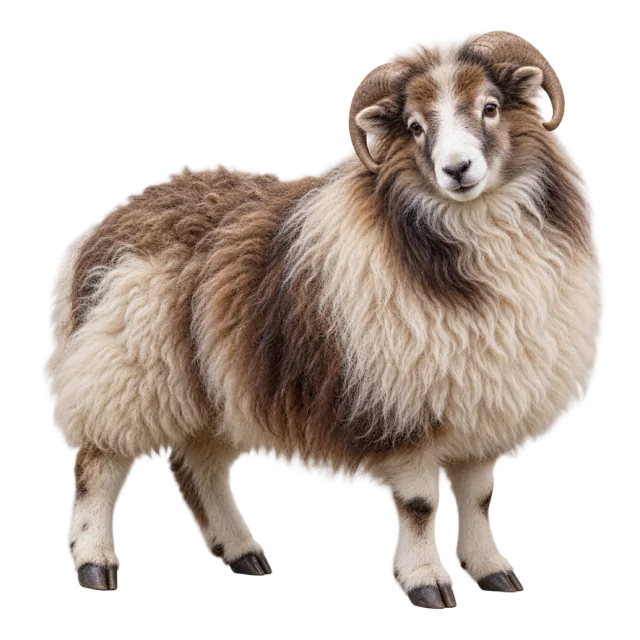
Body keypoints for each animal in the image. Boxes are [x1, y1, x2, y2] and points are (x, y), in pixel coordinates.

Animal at [42, 29, 605, 606]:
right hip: (124, 373)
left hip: (211, 390)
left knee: (199, 467)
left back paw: (244, 555)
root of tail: (103, 225)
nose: (457, 170)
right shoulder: (404, 407)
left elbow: (481, 499)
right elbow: (420, 506)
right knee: (98, 467)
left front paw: (495, 574)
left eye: (490, 107)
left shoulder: (480, 402)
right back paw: (94, 565)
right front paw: (428, 584)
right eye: (415, 126)